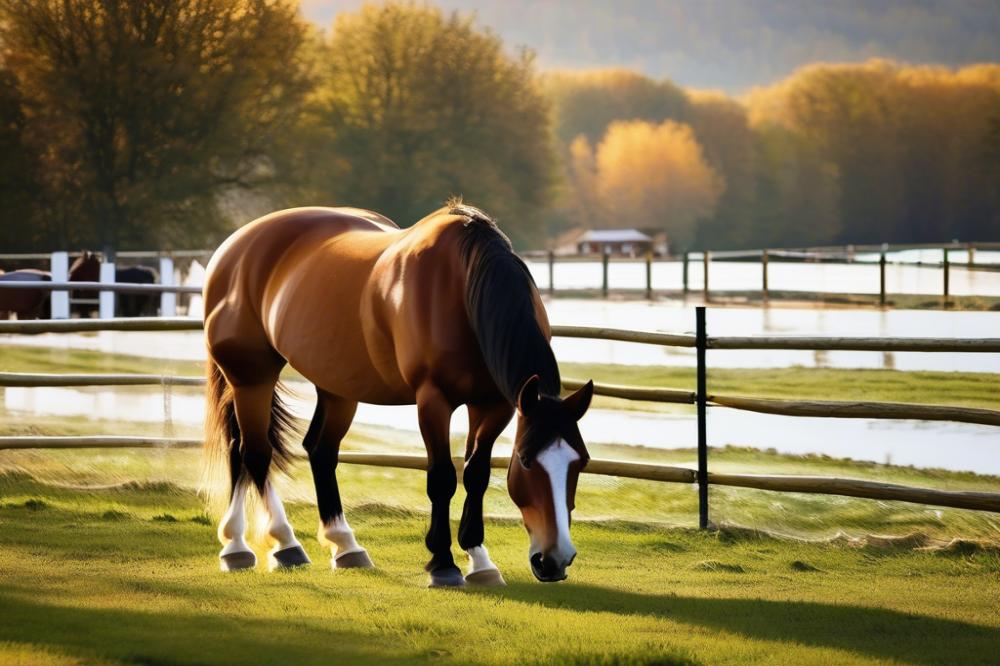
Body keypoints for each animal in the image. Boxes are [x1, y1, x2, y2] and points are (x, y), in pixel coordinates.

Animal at [203, 200, 592, 584]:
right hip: (251, 377)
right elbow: (442, 477)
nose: (555, 560)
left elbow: (476, 475)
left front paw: (481, 561)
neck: (462, 285)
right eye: (526, 460)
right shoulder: (433, 400)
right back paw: (278, 544)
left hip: (337, 386)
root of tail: (233, 247)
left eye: (581, 461)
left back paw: (333, 546)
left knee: (311, 450)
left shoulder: (494, 405)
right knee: (254, 453)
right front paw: (443, 564)